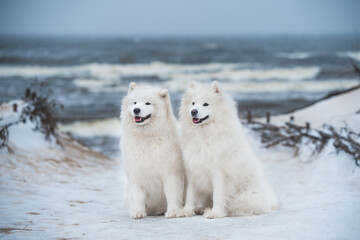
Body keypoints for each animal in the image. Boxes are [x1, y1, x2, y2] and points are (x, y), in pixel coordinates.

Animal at [120, 82, 184, 219]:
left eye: (147, 103)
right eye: (134, 103)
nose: (136, 110)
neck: (147, 138)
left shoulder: (171, 174)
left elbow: (172, 194)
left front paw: (172, 211)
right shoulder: (137, 174)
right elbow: (138, 196)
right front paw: (138, 212)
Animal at [179, 81, 278, 218]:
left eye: (206, 104)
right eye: (193, 103)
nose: (193, 111)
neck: (205, 135)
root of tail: (271, 202)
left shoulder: (219, 173)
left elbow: (218, 196)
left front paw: (216, 213)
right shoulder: (193, 170)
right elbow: (190, 196)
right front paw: (187, 211)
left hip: (248, 198)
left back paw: (210, 210)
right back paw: (201, 208)